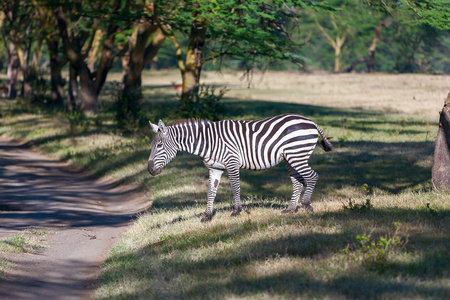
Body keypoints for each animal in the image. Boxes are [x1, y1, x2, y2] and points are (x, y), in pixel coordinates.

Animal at [147, 113, 330, 221]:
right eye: (153, 145)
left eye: (159, 145)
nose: (150, 170)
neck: (208, 141)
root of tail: (310, 121)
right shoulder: (215, 168)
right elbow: (211, 192)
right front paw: (207, 216)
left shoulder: (232, 162)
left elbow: (235, 187)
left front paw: (236, 211)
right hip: (290, 158)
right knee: (297, 181)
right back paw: (290, 209)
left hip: (297, 154)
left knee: (312, 176)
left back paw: (306, 204)